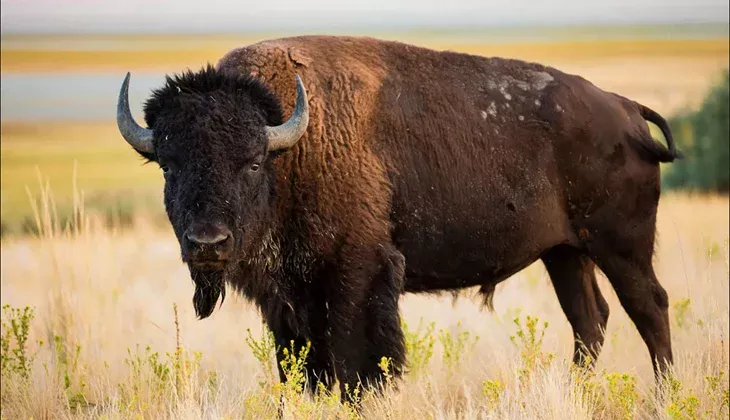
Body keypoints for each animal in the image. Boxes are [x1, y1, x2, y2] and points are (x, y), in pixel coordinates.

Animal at [116, 35, 680, 400]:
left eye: (252, 162)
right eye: (168, 164)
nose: (207, 243)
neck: (292, 147)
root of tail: (625, 109)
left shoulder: (357, 273)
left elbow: (357, 361)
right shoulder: (287, 297)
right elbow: (302, 366)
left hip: (620, 246)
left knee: (648, 308)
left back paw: (665, 395)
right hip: (565, 253)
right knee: (590, 320)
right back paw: (576, 392)